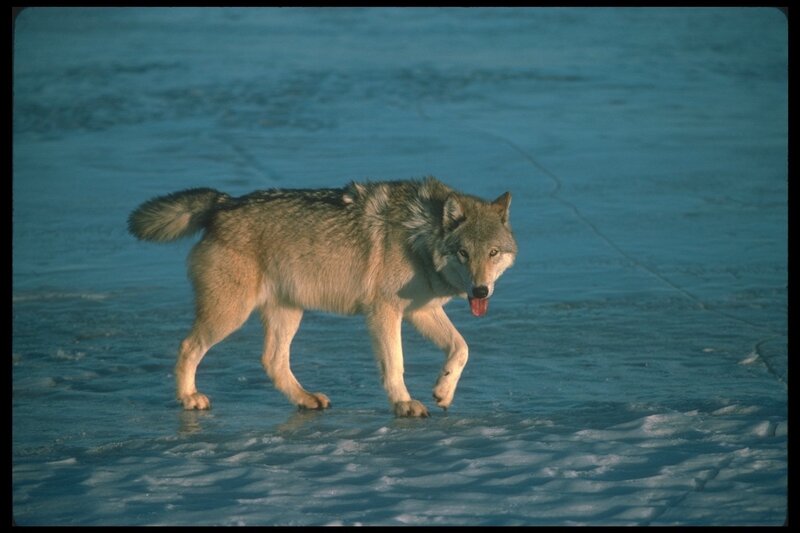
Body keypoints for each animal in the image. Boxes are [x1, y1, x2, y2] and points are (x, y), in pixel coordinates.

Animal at [128, 177, 517, 417]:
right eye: (463, 253)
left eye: (493, 253)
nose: (480, 291)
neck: (419, 234)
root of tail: (224, 203)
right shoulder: (384, 312)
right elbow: (396, 365)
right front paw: (405, 404)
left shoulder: (420, 311)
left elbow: (461, 348)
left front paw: (443, 391)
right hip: (230, 315)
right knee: (187, 346)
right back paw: (188, 398)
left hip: (288, 313)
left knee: (272, 361)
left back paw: (306, 399)